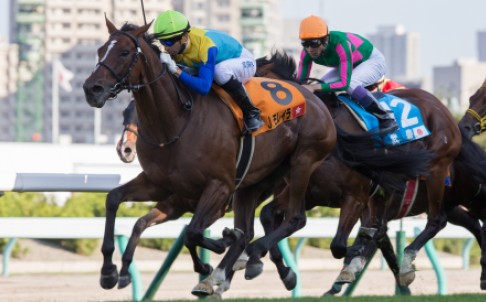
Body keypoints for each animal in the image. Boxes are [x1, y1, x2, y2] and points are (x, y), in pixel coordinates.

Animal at [256, 50, 462, 290]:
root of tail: (441, 107)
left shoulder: (355, 196)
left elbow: (338, 245)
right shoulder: (309, 192)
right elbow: (269, 215)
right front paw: (283, 272)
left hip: (436, 170)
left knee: (436, 220)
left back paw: (406, 264)